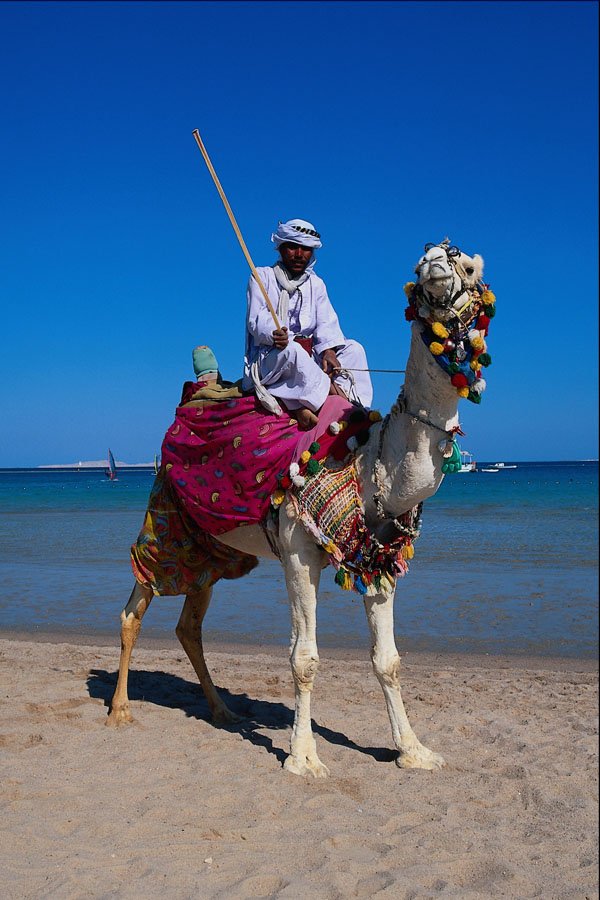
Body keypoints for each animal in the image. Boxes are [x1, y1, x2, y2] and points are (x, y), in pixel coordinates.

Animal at [107, 240, 493, 778]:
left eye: (469, 267)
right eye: (420, 266)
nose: (438, 260)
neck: (371, 459)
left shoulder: (380, 558)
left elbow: (388, 659)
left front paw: (413, 751)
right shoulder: (298, 552)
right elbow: (304, 657)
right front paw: (303, 757)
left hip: (212, 548)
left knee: (189, 623)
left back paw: (223, 711)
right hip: (165, 518)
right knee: (135, 605)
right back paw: (119, 709)